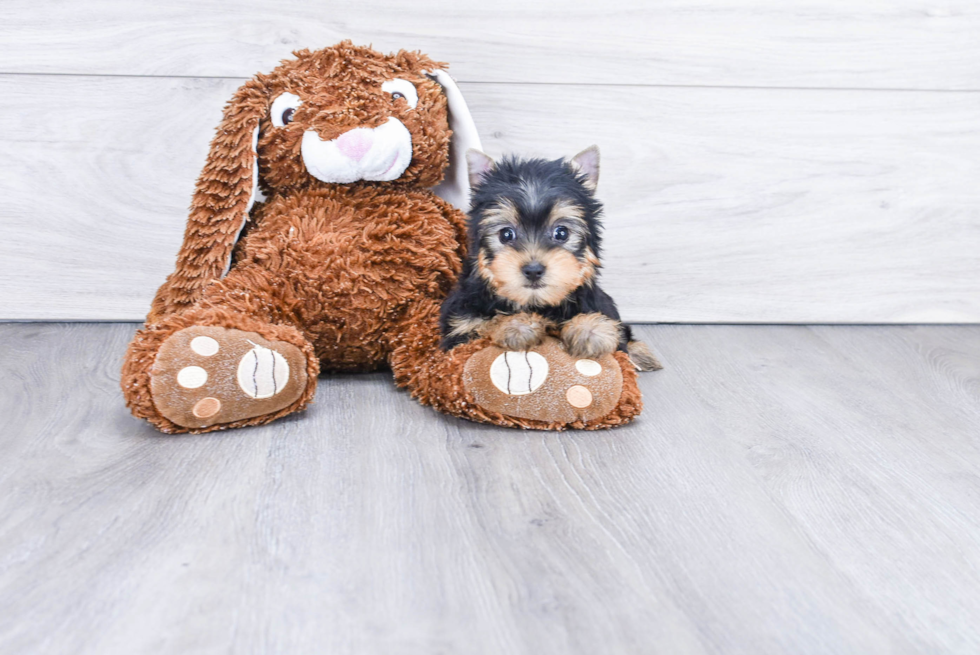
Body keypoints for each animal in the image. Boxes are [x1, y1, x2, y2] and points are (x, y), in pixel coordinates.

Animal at [440, 145, 664, 368]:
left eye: (561, 233)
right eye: (506, 234)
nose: (533, 270)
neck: (537, 303)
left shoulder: (601, 305)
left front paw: (589, 330)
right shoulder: (460, 325)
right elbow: (480, 329)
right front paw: (515, 325)